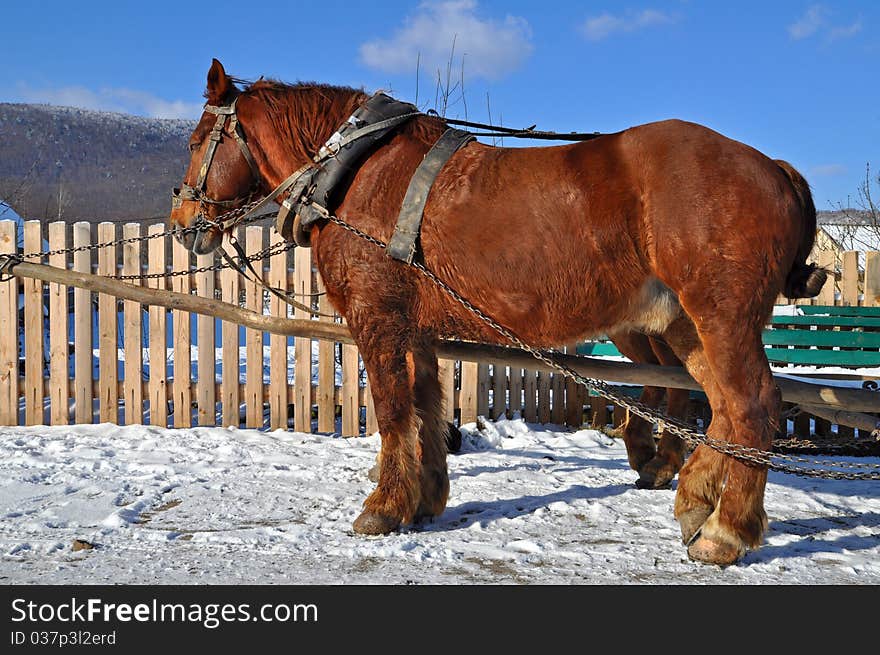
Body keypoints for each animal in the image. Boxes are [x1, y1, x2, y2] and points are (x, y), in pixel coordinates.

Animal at [170, 59, 824, 568]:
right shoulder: (418, 330)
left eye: (199, 141)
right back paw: (694, 499)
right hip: (686, 324)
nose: (182, 225)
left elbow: (393, 410)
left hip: (721, 315)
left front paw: (382, 508)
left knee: (752, 405)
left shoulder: (379, 319)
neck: (355, 172)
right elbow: (426, 408)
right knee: (724, 408)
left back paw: (724, 531)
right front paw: (425, 500)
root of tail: (773, 168)